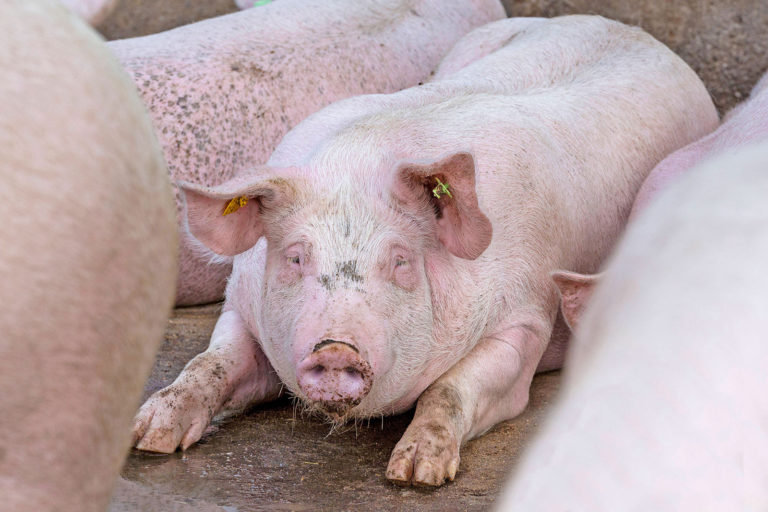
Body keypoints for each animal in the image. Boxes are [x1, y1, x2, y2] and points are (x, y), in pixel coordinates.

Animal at [129, 16, 716, 486]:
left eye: (401, 262)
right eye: (295, 258)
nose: (335, 348)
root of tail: (630, 28)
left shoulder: (527, 319)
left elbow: (449, 389)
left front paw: (416, 474)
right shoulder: (239, 305)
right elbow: (208, 364)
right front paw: (147, 437)